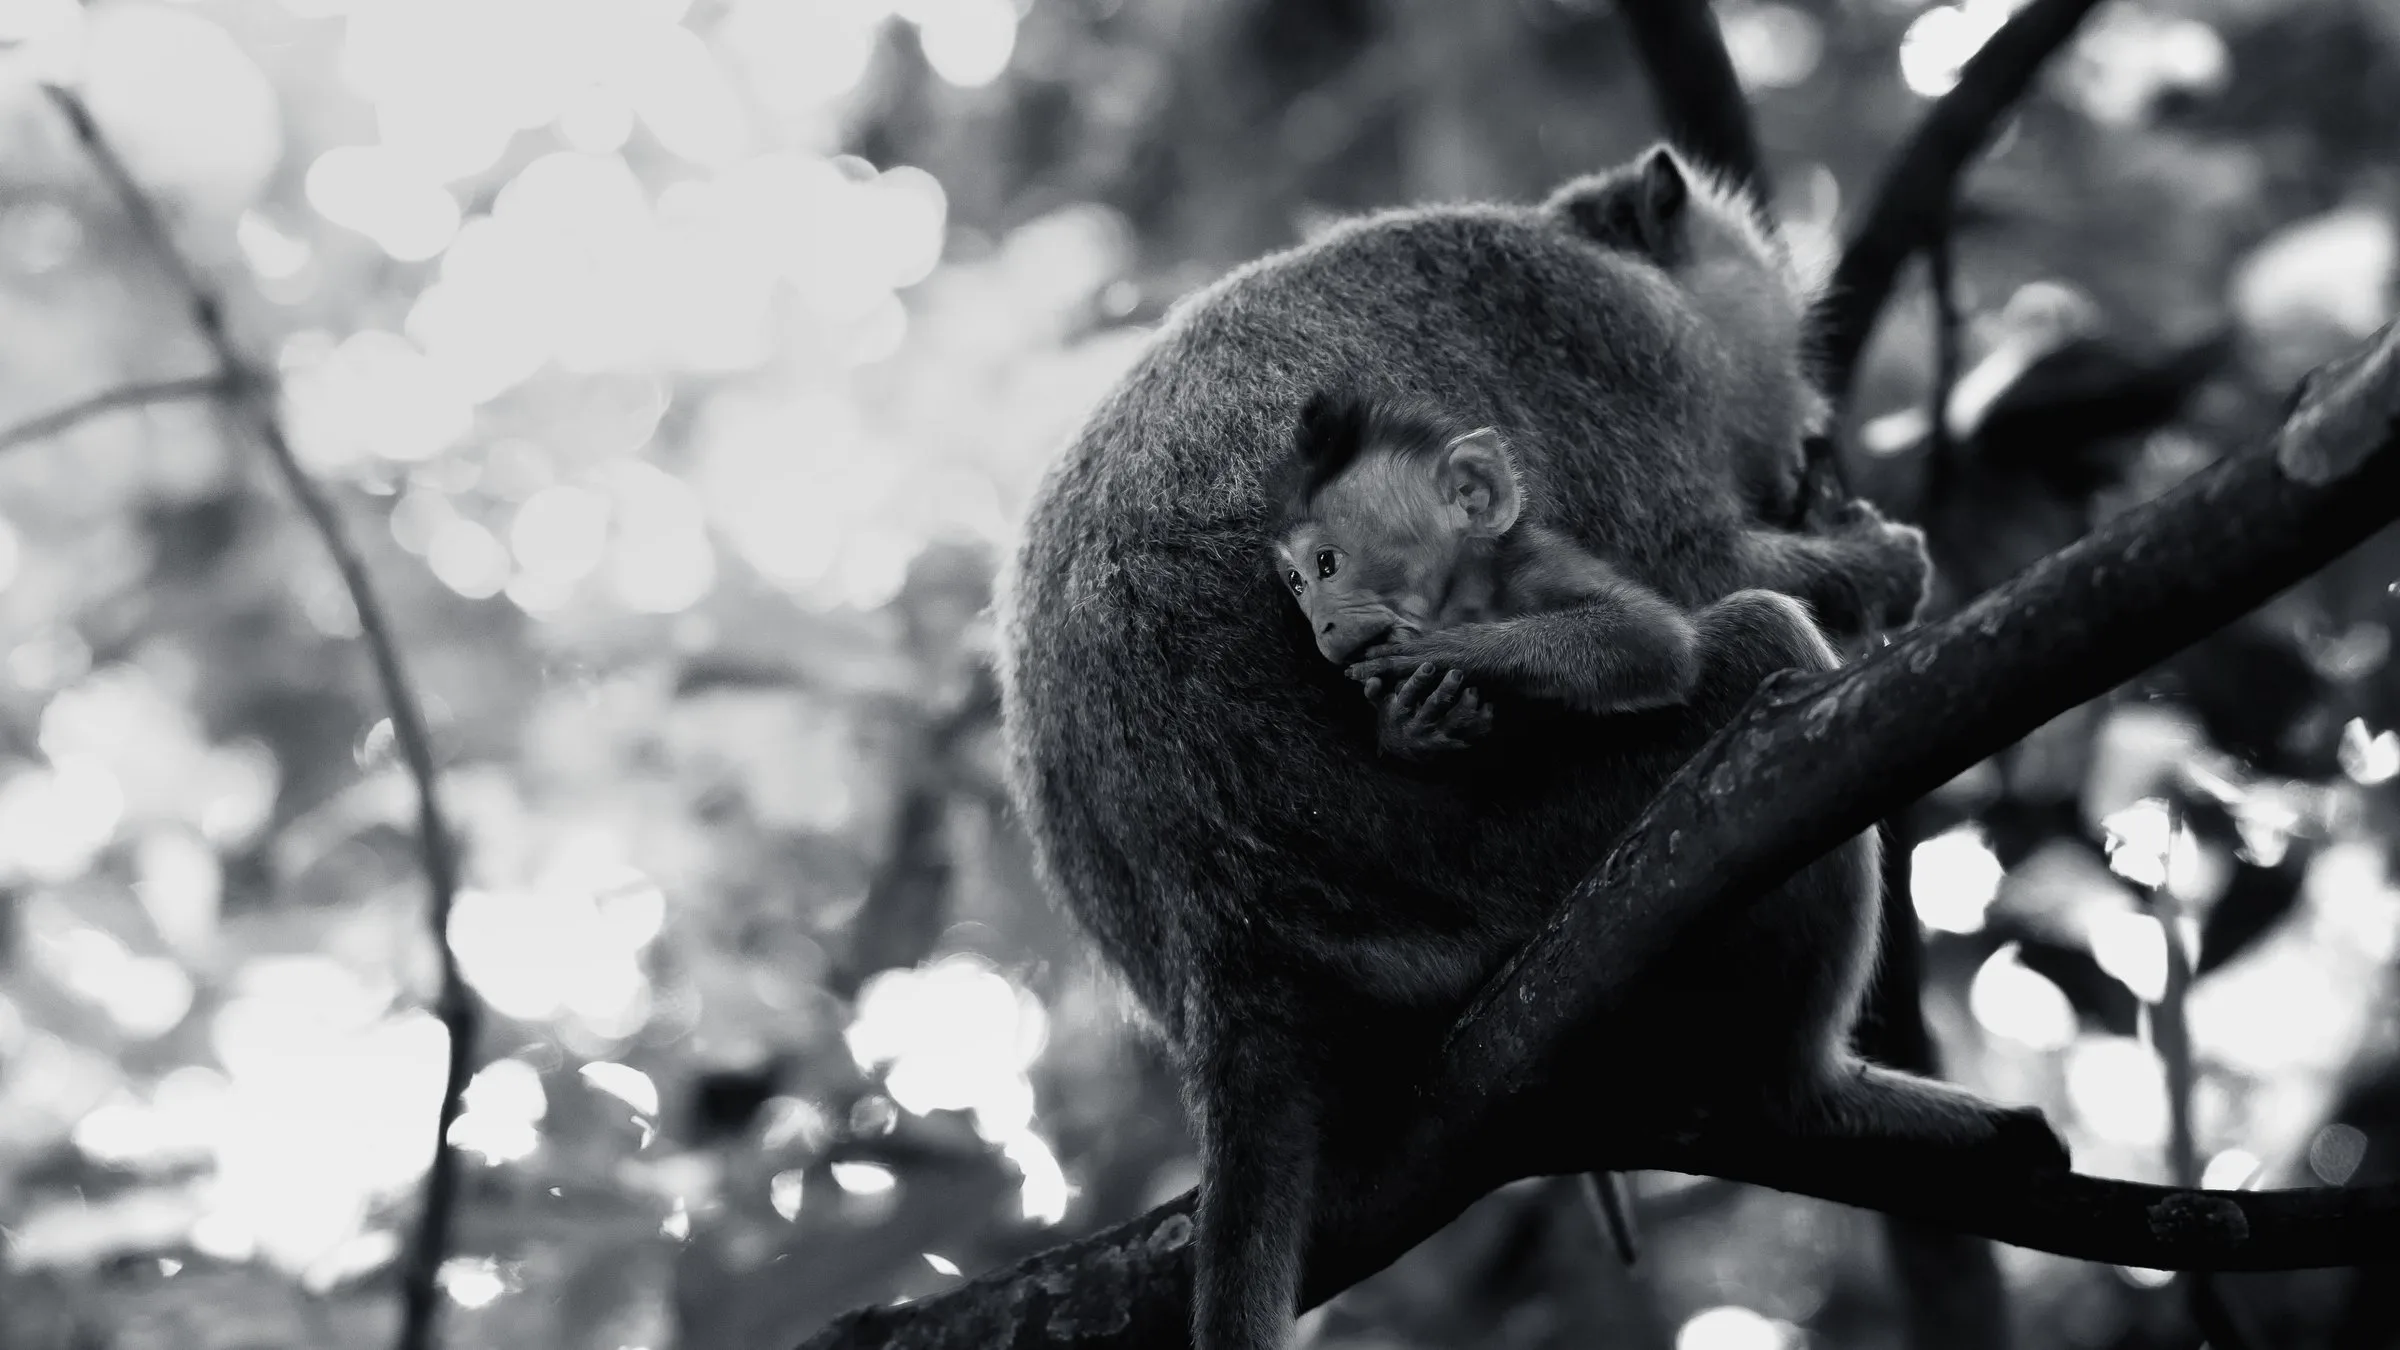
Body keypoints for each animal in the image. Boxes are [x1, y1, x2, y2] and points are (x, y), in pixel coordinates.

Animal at [996, 142, 2068, 1350]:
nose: (1805, 437)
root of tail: (1222, 948)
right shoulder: (1613, 341)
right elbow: (1688, 572)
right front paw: (1875, 564)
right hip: (1526, 860)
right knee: (1763, 678)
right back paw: (1810, 1097)